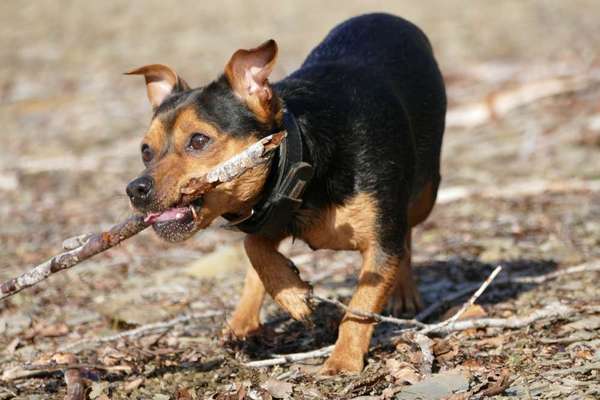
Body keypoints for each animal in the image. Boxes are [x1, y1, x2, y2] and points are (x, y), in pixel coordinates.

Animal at [126, 13, 446, 376]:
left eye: (198, 141)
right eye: (145, 151)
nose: (135, 189)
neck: (304, 159)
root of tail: (388, 16)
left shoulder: (381, 243)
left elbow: (361, 305)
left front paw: (343, 360)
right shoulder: (269, 214)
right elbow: (254, 249)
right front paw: (291, 294)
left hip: (424, 195)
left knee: (407, 232)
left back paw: (404, 291)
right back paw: (242, 321)